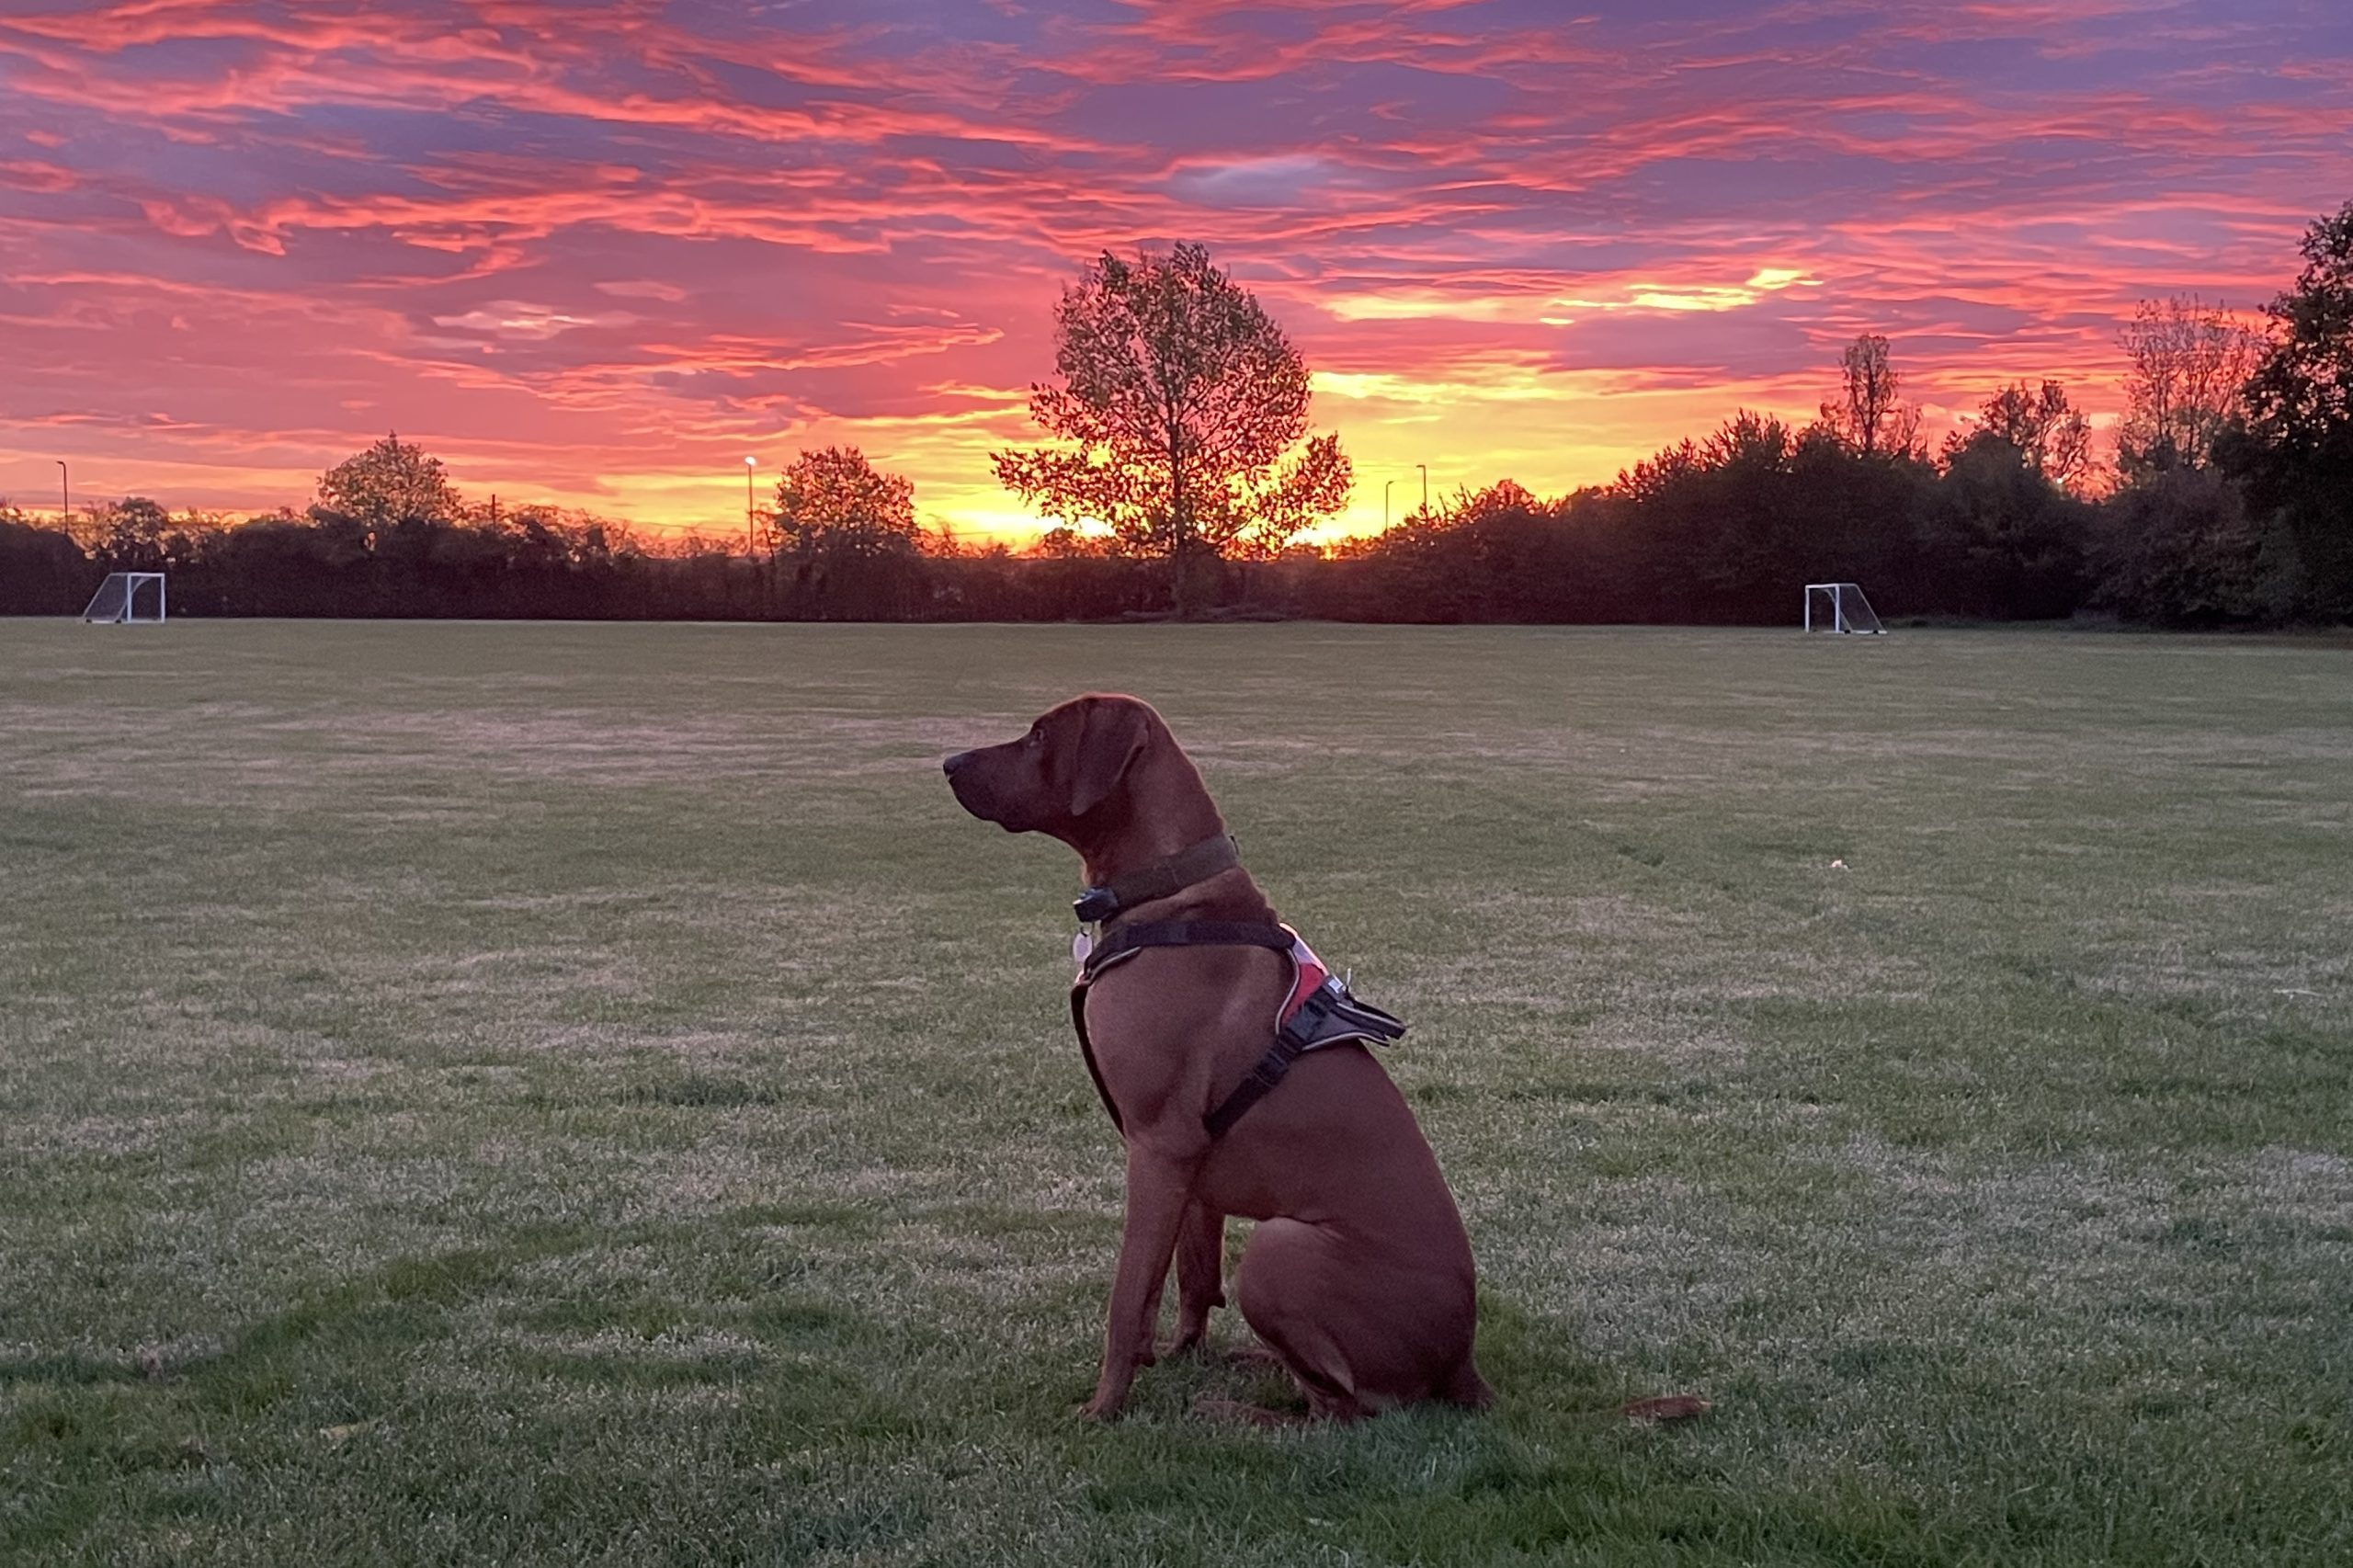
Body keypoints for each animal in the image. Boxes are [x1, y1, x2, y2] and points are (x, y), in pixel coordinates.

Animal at [941, 692, 1477, 1412]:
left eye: (1038, 737)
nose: (948, 761)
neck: (1170, 895)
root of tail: (1462, 1362)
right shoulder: (1190, 1164)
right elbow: (1186, 1277)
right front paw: (1173, 1355)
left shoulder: (1157, 1144)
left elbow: (1126, 1294)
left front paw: (1103, 1408)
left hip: (1280, 1245)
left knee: (1344, 1408)